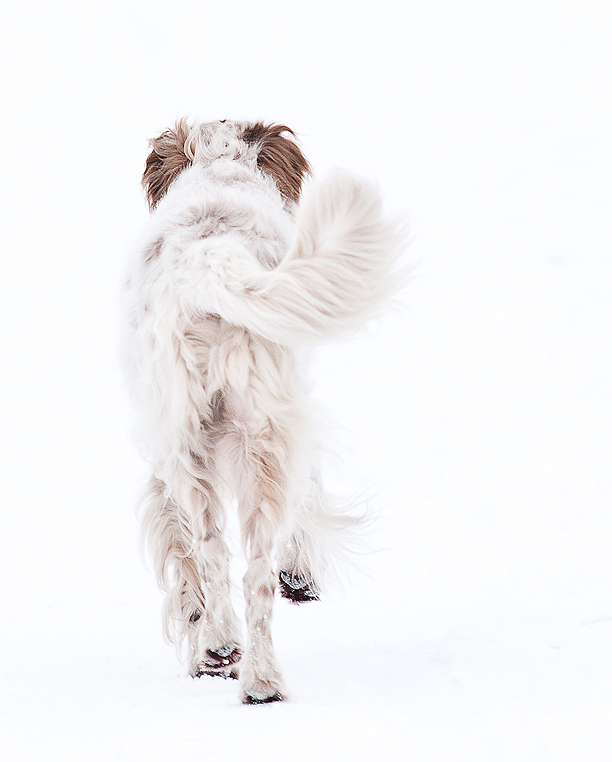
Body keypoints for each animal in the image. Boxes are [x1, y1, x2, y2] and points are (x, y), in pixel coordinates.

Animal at [122, 119, 404, 700]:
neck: (218, 172)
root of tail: (210, 260)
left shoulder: (162, 463)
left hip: (199, 446)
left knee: (216, 554)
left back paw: (223, 649)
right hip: (260, 438)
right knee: (253, 573)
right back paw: (260, 679)